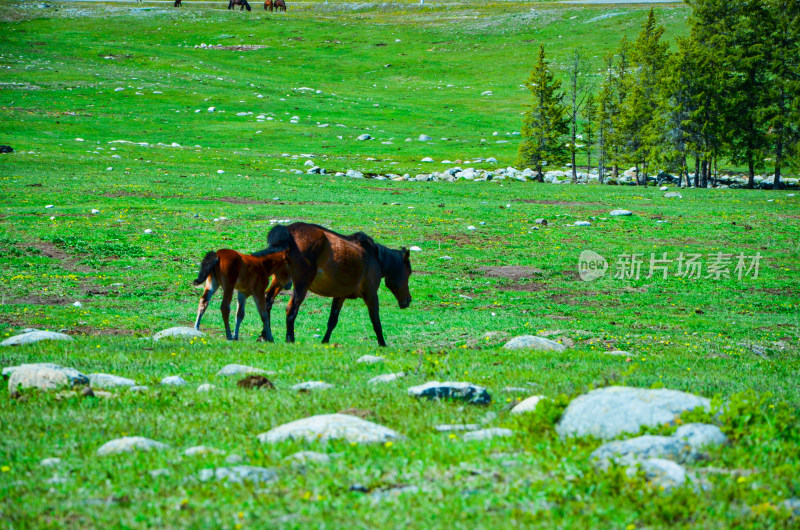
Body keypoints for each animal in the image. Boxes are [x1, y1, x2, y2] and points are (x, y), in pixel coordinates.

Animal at [262, 222, 412, 346]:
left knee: (267, 301)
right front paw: (382, 344)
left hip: (280, 280)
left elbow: (332, 321)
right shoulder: (371, 295)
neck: (374, 257)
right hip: (301, 285)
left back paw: (266, 337)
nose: (408, 300)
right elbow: (376, 321)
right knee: (291, 309)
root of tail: (287, 232)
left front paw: (325, 342)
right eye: (409, 272)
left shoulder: (340, 295)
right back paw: (290, 340)